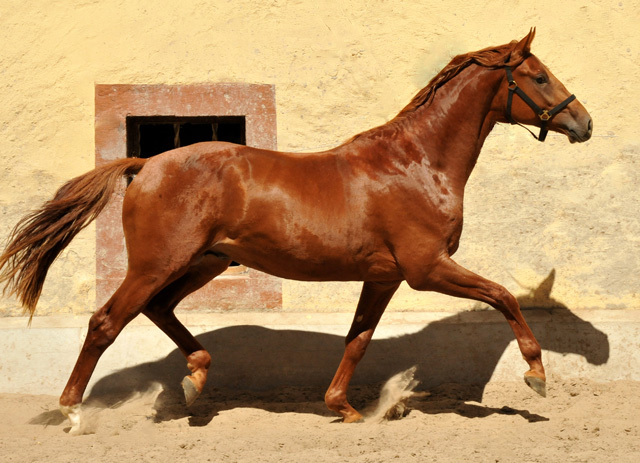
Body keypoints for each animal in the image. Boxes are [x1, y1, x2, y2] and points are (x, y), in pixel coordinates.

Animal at [0, 29, 592, 436]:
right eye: (539, 77)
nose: (583, 123)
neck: (417, 163)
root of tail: (146, 165)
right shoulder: (427, 269)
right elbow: (503, 296)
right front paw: (537, 375)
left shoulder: (384, 277)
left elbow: (358, 340)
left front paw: (345, 408)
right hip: (158, 263)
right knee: (106, 323)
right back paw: (74, 412)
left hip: (204, 262)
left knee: (159, 309)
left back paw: (196, 380)